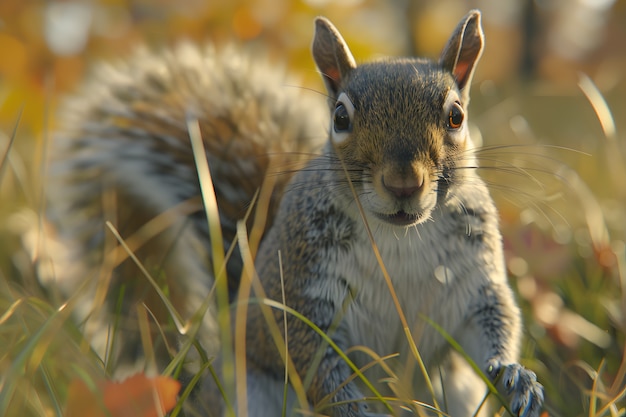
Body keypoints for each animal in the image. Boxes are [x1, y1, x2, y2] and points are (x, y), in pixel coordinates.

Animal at [44, 8, 540, 416]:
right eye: (340, 118)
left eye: (456, 116)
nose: (403, 183)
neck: (400, 236)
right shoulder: (301, 292)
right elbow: (313, 365)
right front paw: (360, 412)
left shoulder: (473, 282)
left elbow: (496, 322)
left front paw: (514, 377)